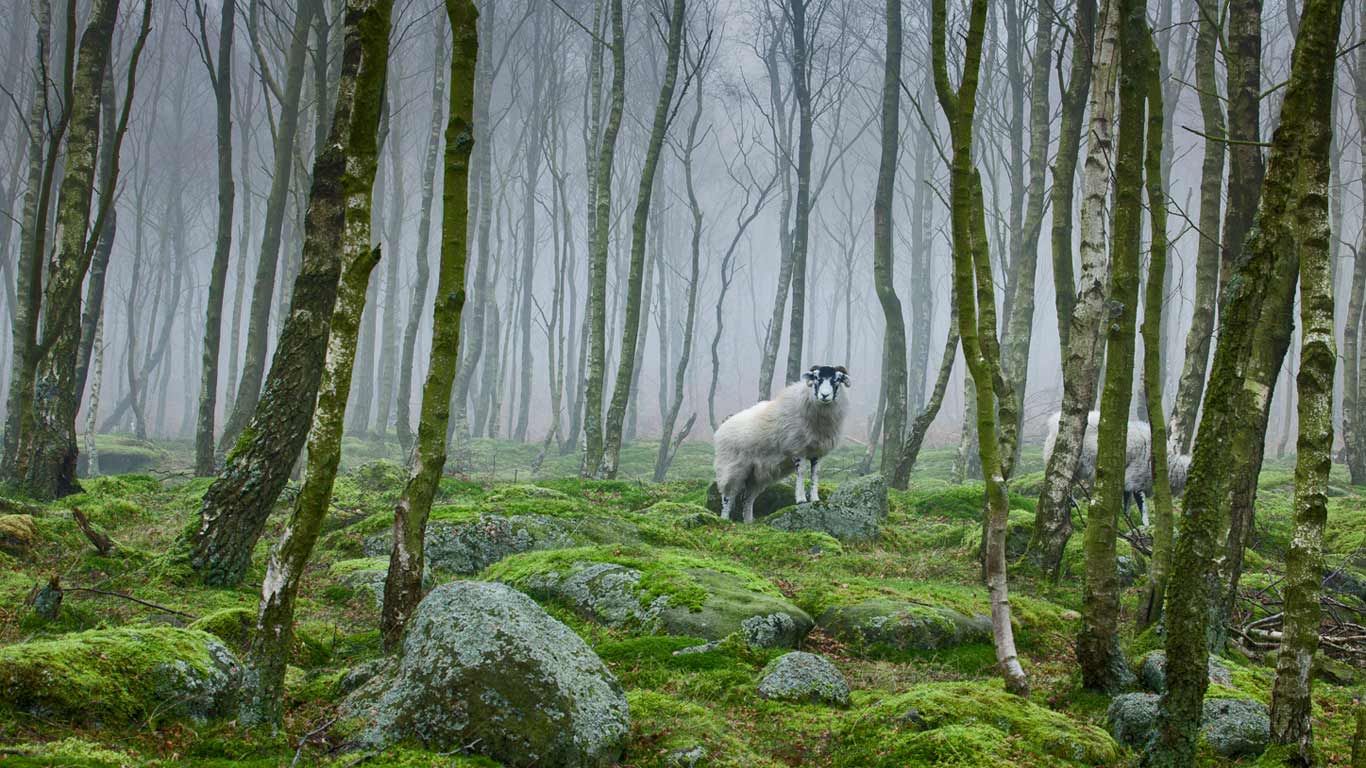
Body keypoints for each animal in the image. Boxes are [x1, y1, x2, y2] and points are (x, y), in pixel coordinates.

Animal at [713, 365, 852, 523]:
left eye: (837, 379)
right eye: (816, 378)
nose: (824, 395)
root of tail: (721, 428)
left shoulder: (817, 453)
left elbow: (815, 474)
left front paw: (815, 499)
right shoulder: (798, 449)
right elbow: (802, 472)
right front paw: (801, 499)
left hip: (755, 475)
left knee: (747, 499)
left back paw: (748, 522)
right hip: (730, 467)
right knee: (727, 497)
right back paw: (724, 519)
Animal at [1041, 410, 1191, 525]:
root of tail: (1054, 421)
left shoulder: (1129, 481)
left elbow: (1127, 505)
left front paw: (1129, 521)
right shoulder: (1136, 479)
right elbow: (1142, 507)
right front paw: (1145, 526)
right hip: (1068, 459)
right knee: (1061, 480)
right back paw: (1071, 501)